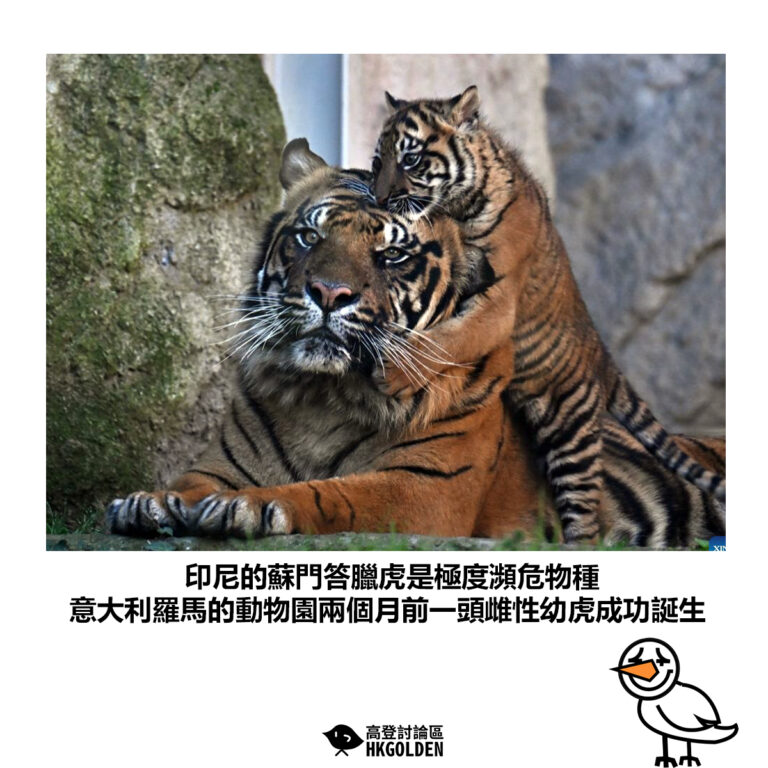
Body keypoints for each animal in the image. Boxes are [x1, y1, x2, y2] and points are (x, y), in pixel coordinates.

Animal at [105, 139, 724, 547]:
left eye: (393, 254)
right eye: (308, 236)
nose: (328, 293)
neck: (323, 399)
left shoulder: (425, 489)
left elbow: (335, 494)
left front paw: (252, 507)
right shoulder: (218, 462)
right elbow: (187, 481)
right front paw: (150, 501)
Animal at [371, 86, 725, 542]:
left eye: (410, 159)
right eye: (378, 162)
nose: (379, 199)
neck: (458, 209)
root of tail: (602, 354)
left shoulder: (498, 302)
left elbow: (451, 338)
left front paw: (395, 374)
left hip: (569, 430)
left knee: (586, 516)